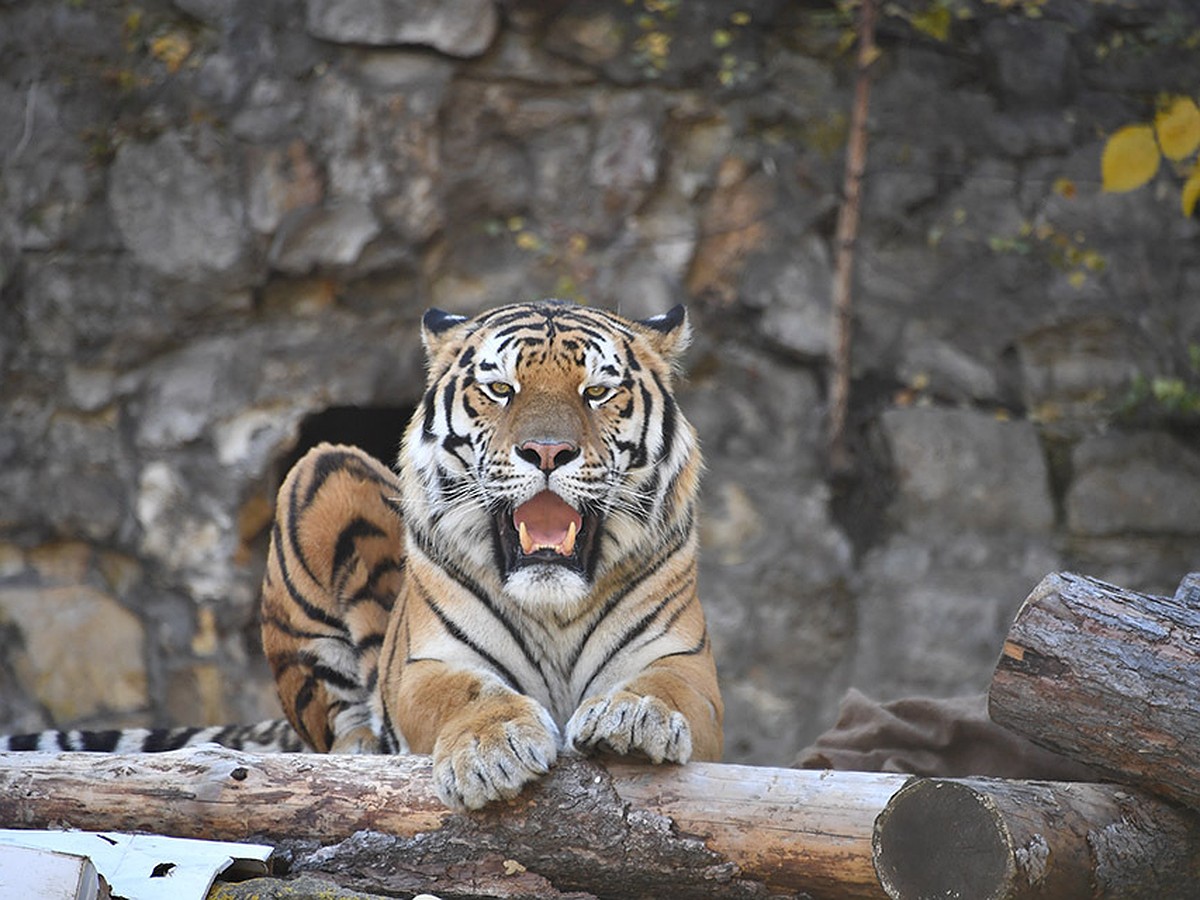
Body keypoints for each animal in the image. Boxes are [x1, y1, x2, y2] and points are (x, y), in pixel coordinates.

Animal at [0, 300, 720, 816]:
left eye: (597, 392)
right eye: (501, 390)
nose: (547, 452)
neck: (553, 605)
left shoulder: (684, 662)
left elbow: (665, 687)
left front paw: (633, 719)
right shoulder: (429, 665)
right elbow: (468, 693)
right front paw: (494, 749)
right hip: (319, 472)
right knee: (336, 728)